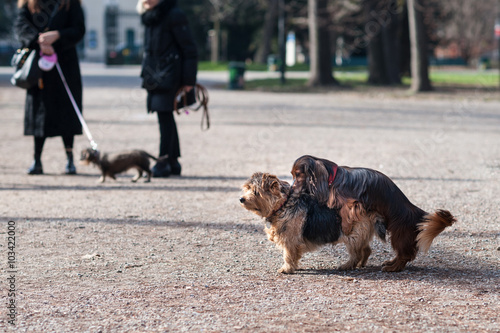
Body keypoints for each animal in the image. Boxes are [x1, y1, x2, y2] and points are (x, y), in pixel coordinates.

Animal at [239, 171, 382, 272]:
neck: (283, 204)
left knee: (356, 253)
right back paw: (361, 264)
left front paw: (286, 269)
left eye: (256, 192)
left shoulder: (289, 240)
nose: (241, 199)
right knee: (366, 250)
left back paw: (346, 265)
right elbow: (294, 256)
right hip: (360, 235)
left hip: (353, 236)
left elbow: (288, 255)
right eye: (247, 188)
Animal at [290, 154, 458, 272]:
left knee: (405, 256)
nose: (291, 189)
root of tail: (418, 213)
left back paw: (393, 268)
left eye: (298, 175)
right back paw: (390, 262)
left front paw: (345, 227)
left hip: (399, 234)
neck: (334, 177)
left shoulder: (353, 203)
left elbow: (346, 214)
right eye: (293, 175)